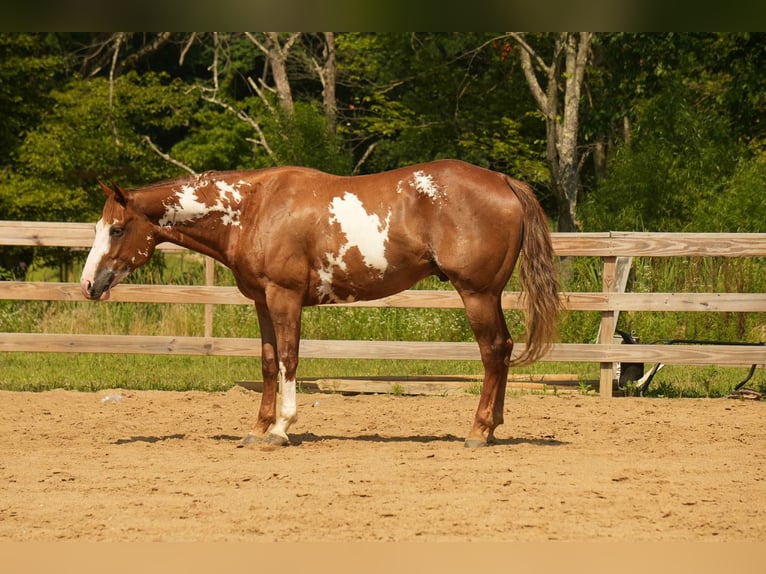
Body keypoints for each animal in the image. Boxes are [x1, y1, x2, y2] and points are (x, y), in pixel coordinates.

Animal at [80, 159, 560, 448]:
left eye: (118, 229)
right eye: (100, 227)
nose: (88, 284)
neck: (253, 209)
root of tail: (503, 182)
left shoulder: (285, 297)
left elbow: (289, 360)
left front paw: (281, 428)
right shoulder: (262, 301)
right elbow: (268, 362)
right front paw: (257, 429)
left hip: (476, 294)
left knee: (492, 351)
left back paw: (478, 430)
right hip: (489, 295)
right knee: (504, 350)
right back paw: (492, 427)